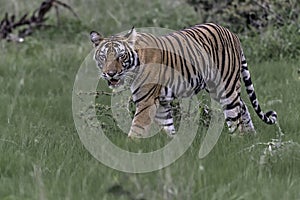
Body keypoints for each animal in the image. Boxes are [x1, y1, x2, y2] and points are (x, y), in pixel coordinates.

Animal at [89, 22, 276, 138]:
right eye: (104, 57)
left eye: (121, 56)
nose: (110, 73)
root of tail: (233, 33)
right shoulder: (161, 102)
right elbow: (167, 128)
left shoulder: (146, 101)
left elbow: (136, 129)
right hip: (216, 88)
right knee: (242, 105)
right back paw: (251, 136)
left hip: (226, 87)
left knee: (234, 115)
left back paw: (238, 141)